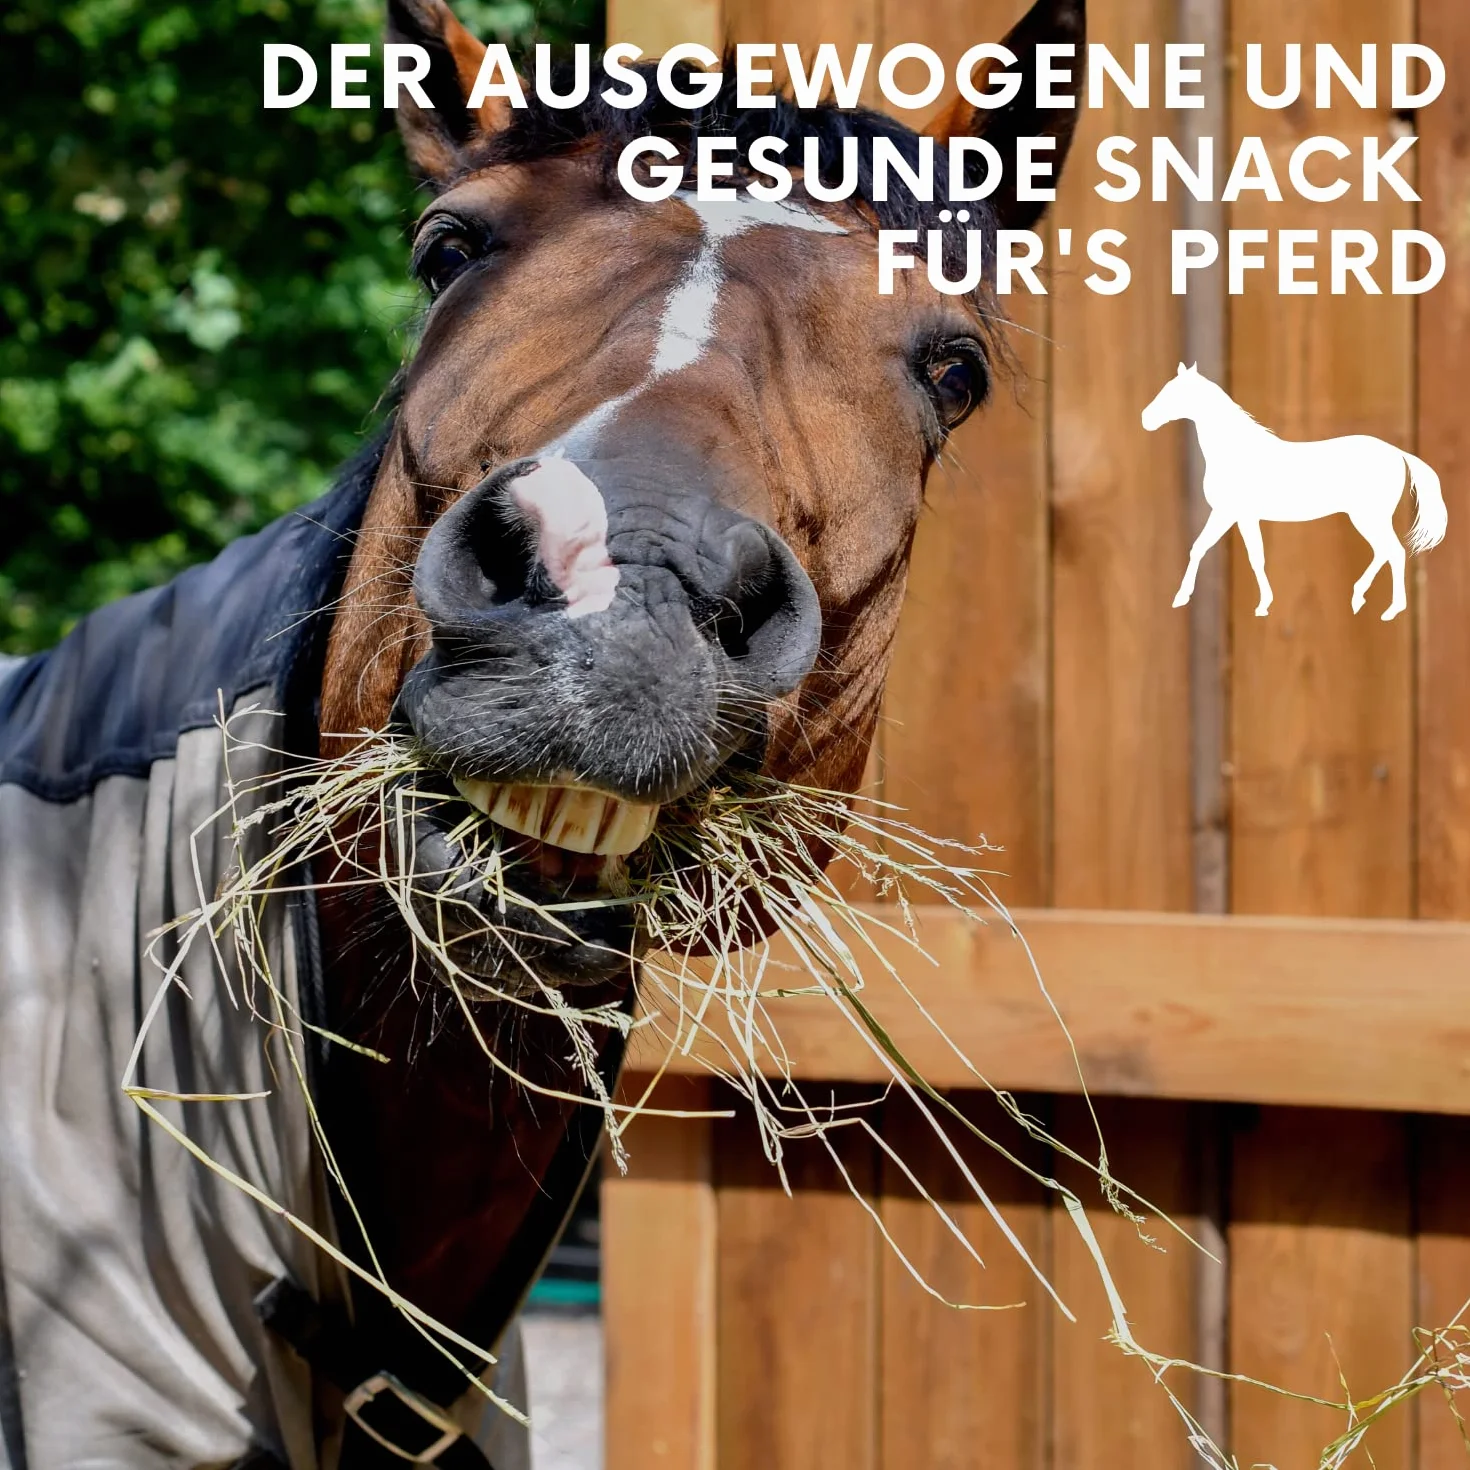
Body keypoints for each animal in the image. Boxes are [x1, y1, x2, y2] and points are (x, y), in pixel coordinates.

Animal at [1141, 363, 1447, 621]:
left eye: (1175, 393)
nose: (1145, 418)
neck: (1237, 452)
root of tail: (1396, 452)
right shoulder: (1233, 515)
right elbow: (1212, 549)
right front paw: (1186, 598)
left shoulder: (1234, 514)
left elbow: (1241, 555)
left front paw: (1259, 605)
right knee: (1384, 551)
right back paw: (1359, 597)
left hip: (1369, 517)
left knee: (1393, 551)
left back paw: (1390, 610)